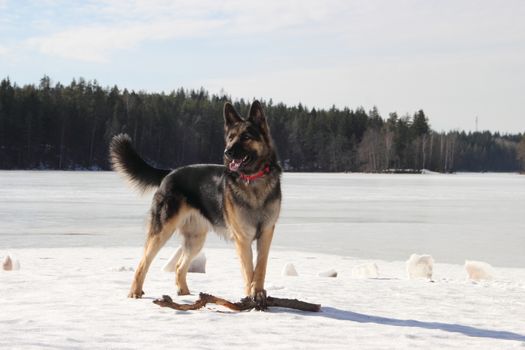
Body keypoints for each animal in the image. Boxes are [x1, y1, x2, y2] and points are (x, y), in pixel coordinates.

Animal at [108, 101, 280, 308]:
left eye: (246, 137)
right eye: (230, 137)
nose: (227, 152)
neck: (253, 181)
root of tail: (170, 172)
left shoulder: (266, 233)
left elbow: (260, 268)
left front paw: (259, 294)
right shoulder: (242, 238)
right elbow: (248, 271)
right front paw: (250, 298)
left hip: (195, 239)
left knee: (179, 265)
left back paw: (185, 293)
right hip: (162, 231)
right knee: (143, 262)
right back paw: (135, 291)